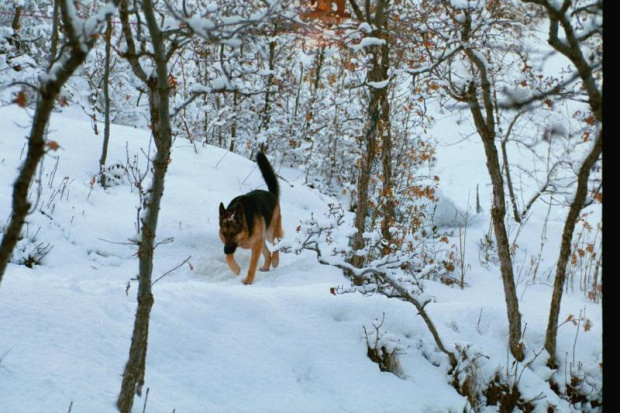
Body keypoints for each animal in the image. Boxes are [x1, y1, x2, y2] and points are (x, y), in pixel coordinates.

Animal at [218, 151, 284, 284]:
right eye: (224, 234)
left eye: (233, 233)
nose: (225, 250)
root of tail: (272, 194)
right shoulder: (233, 245)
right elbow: (228, 258)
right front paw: (236, 269)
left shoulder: (255, 245)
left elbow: (252, 264)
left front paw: (248, 280)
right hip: (262, 239)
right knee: (268, 253)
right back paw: (266, 266)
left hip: (270, 233)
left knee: (277, 242)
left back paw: (275, 260)